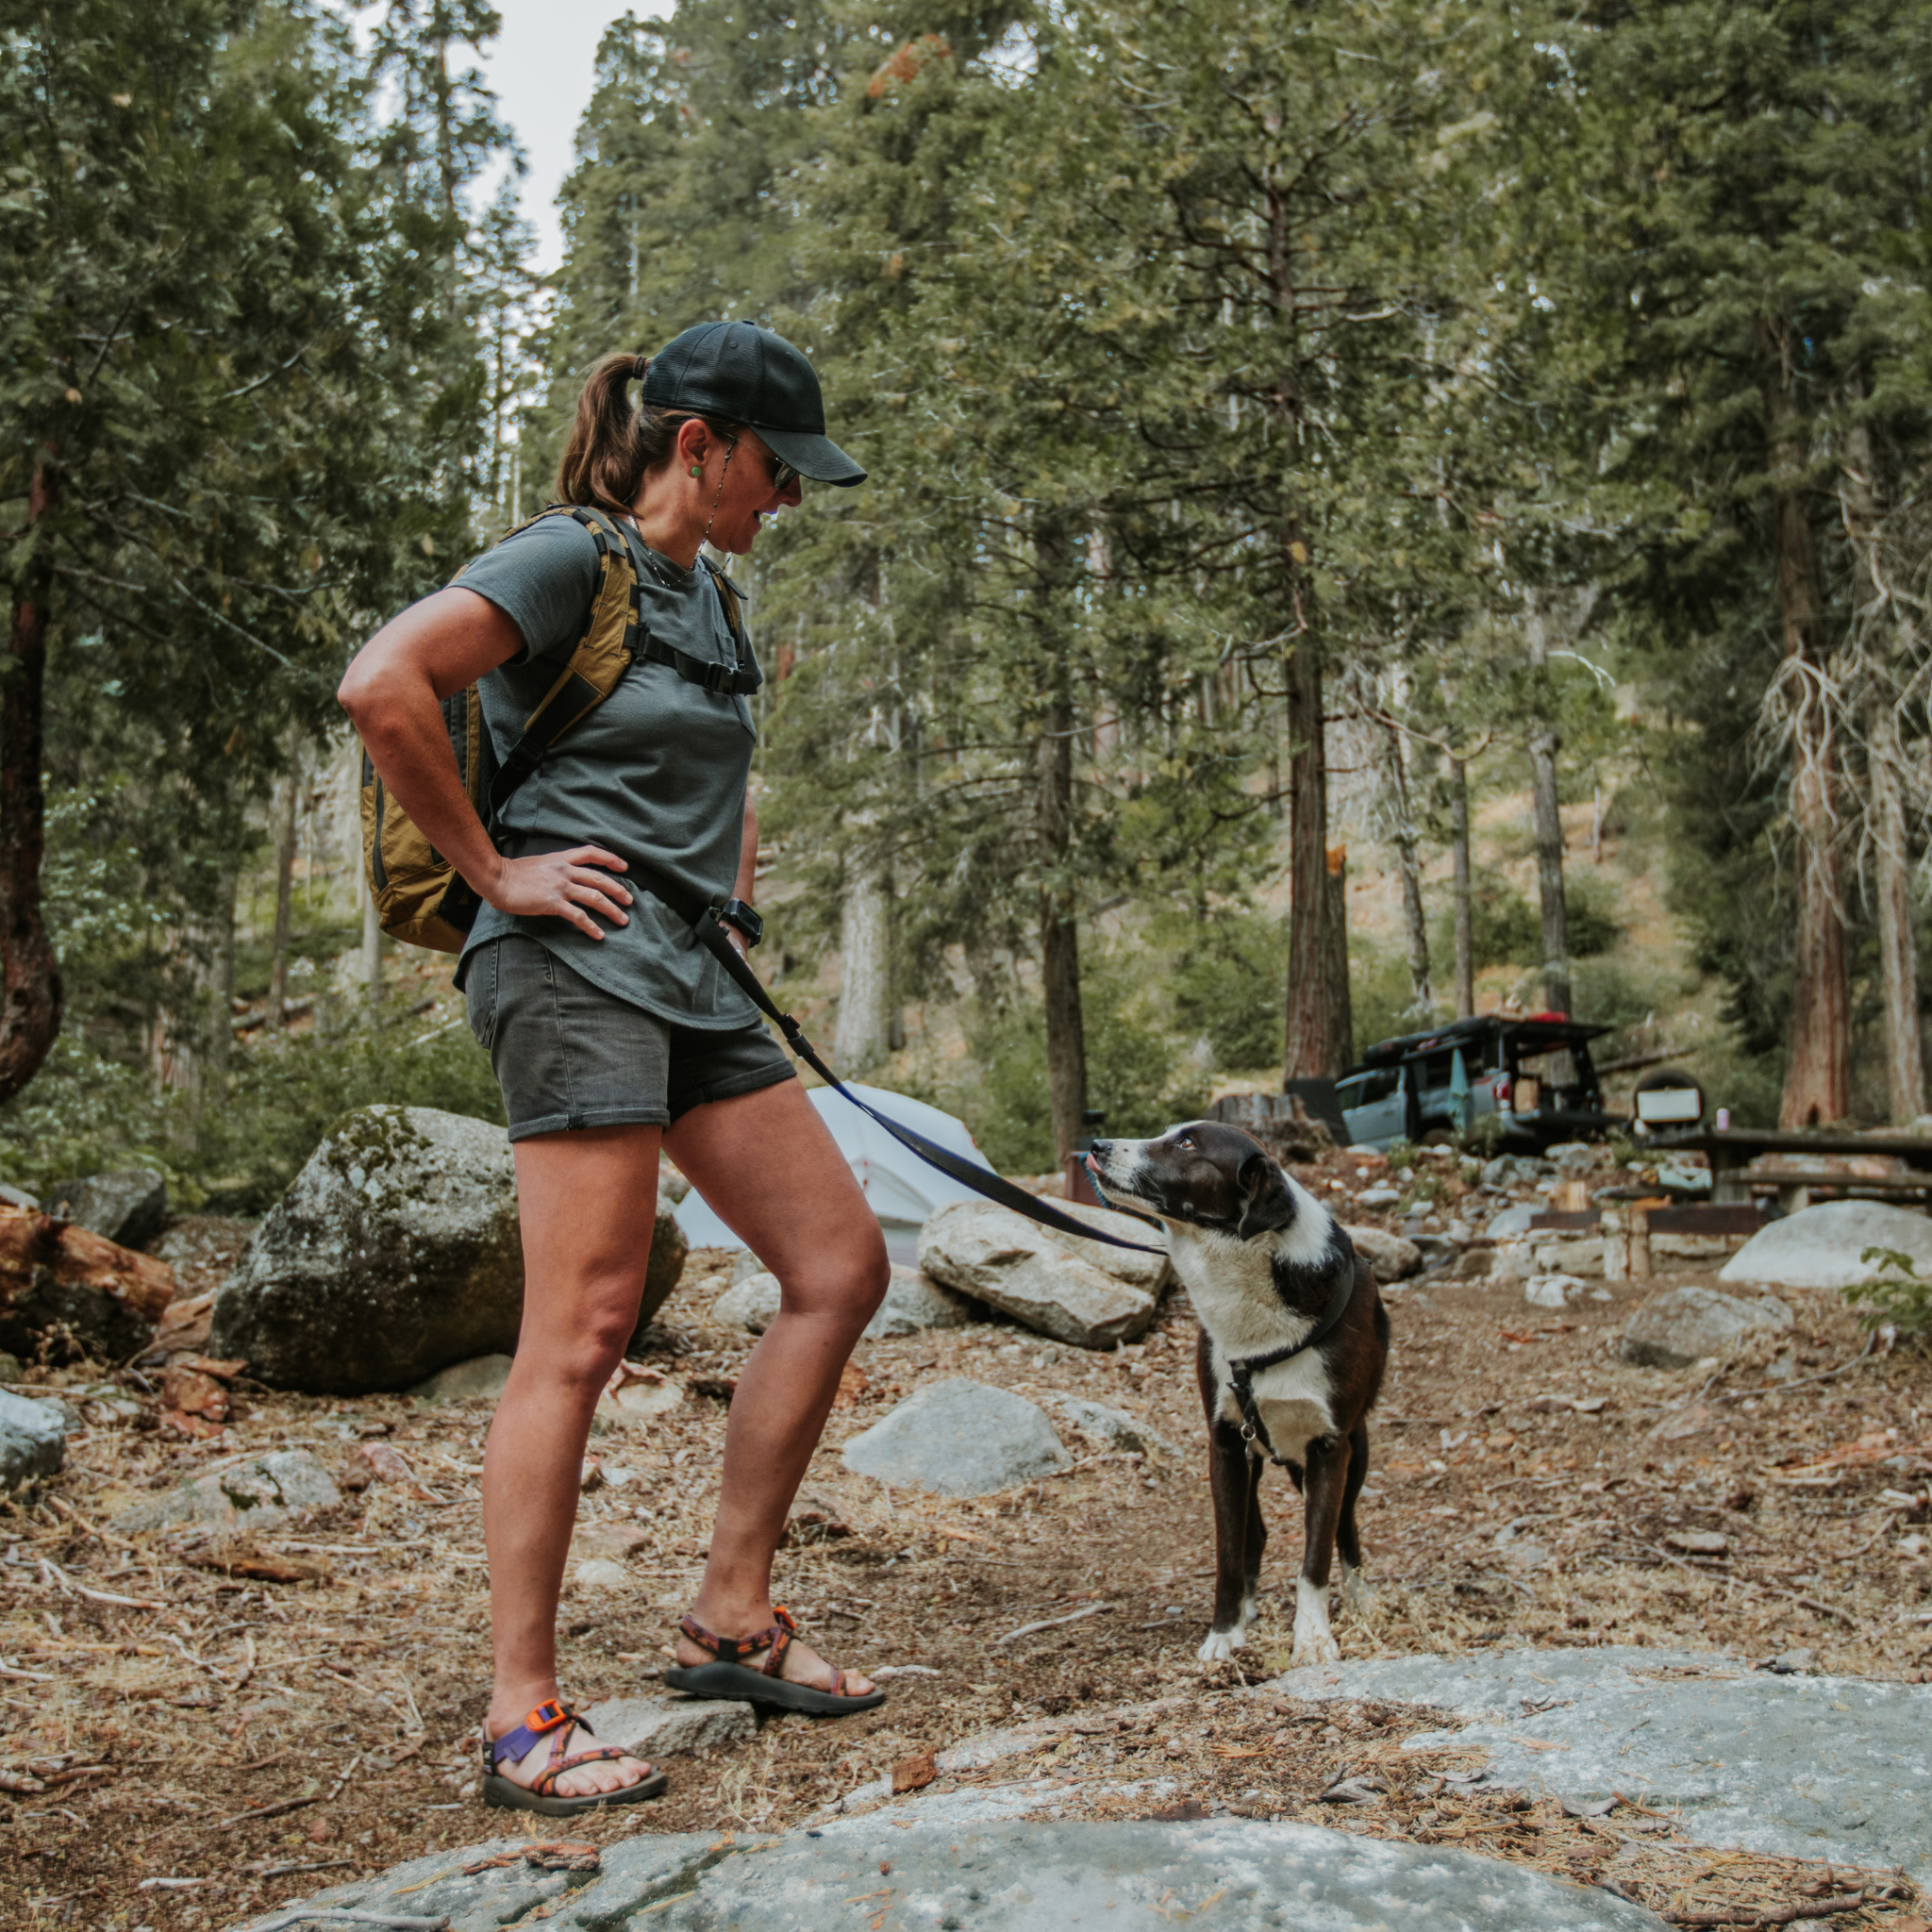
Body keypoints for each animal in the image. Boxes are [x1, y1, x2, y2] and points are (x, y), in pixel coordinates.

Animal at [1090, 1128, 1391, 1669]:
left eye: (1187, 1144)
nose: (1097, 1145)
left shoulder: (1329, 1447)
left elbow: (1315, 1556)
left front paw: (1313, 1638)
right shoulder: (1227, 1444)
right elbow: (1229, 1552)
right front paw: (1225, 1634)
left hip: (1354, 1450)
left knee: (1345, 1526)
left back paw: (1360, 1595)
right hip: (1256, 1451)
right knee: (1258, 1532)